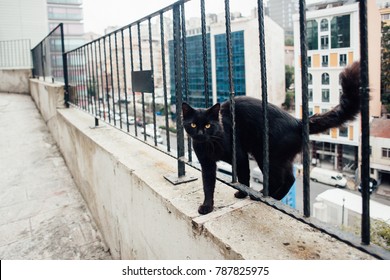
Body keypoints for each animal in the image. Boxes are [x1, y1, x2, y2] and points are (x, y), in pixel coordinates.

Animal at [181, 61, 362, 214]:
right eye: (193, 125)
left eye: (208, 126)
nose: (200, 134)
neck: (210, 144)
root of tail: (297, 121)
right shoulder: (207, 164)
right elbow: (207, 186)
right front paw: (207, 206)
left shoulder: (240, 156)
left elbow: (244, 177)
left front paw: (241, 194)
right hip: (281, 158)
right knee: (289, 178)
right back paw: (274, 196)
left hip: (265, 155)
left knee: (281, 179)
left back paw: (262, 195)